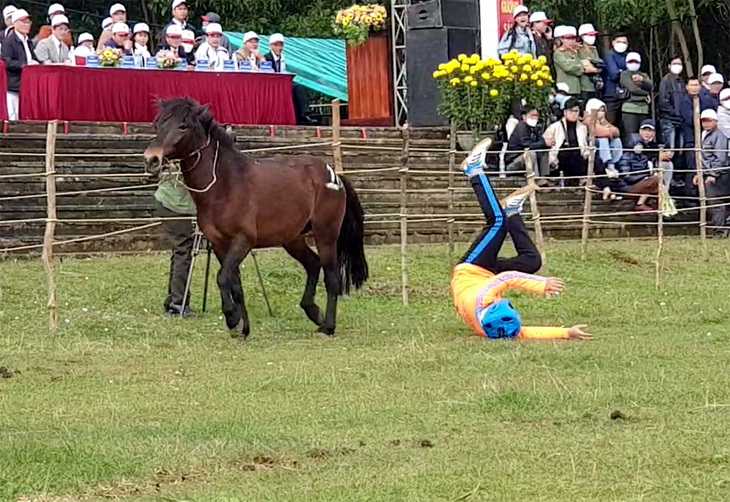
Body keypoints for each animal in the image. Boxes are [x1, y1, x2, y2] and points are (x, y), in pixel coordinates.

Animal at [143, 98, 370, 340]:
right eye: (157, 125)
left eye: (183, 126)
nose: (151, 159)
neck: (224, 184)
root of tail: (333, 175)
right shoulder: (220, 245)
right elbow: (234, 284)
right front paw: (243, 327)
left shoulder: (243, 241)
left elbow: (222, 278)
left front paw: (232, 319)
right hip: (292, 239)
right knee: (313, 264)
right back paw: (313, 312)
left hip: (325, 235)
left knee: (331, 277)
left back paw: (328, 326)